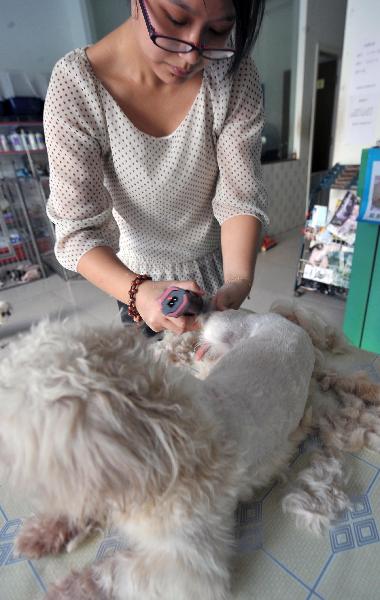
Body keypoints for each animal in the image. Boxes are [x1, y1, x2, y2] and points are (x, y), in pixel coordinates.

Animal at [0, 312, 314, 596]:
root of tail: (292, 323)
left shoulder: (188, 566)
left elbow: (111, 572)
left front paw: (66, 589)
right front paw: (41, 533)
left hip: (222, 327)